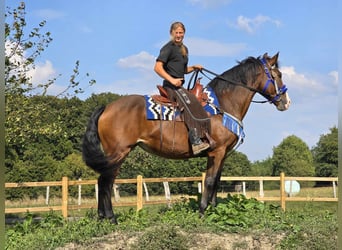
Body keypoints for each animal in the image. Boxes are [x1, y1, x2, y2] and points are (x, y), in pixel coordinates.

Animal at [83, 52, 292, 223]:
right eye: (278, 75)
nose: (286, 102)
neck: (223, 104)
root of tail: (107, 107)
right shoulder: (217, 152)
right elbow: (209, 181)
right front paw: (202, 212)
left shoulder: (221, 154)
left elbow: (216, 181)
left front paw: (213, 211)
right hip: (119, 152)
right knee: (106, 182)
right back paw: (110, 218)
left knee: (103, 181)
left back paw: (101, 217)